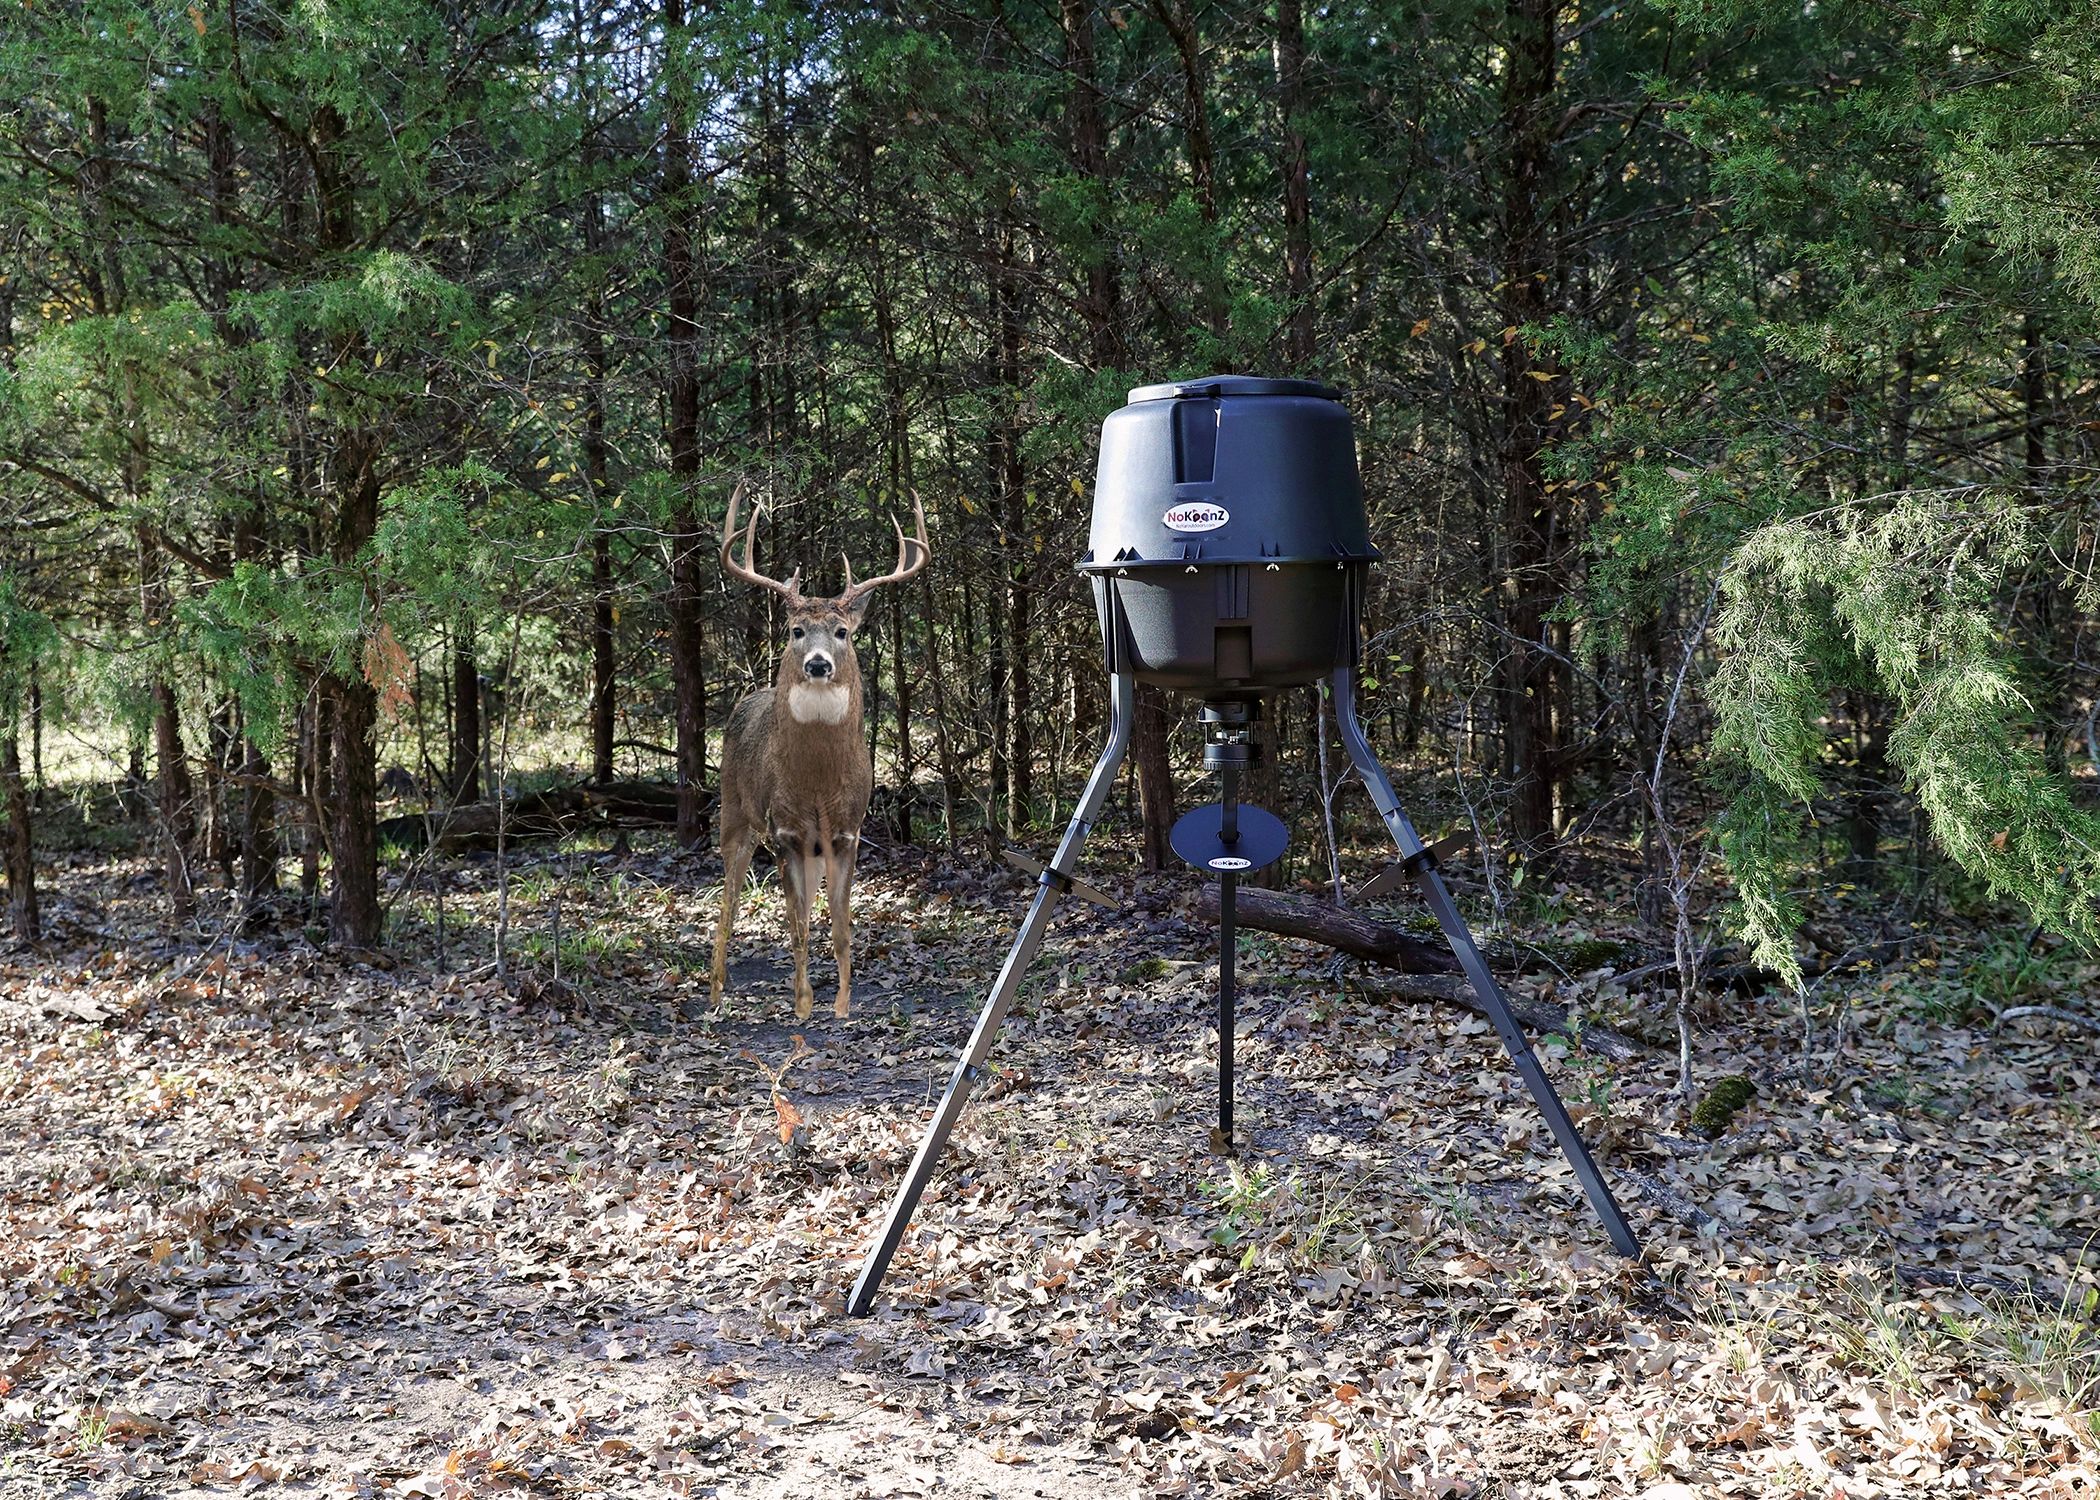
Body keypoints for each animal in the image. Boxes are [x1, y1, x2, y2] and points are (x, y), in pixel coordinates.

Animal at [710, 482, 930, 1020]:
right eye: (795, 630)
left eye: (842, 631)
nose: (816, 663)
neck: (817, 783)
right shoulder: (785, 832)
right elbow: (797, 930)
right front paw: (804, 1006)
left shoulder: (847, 831)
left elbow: (840, 928)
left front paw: (842, 1006)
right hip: (735, 813)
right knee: (727, 903)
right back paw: (716, 993)